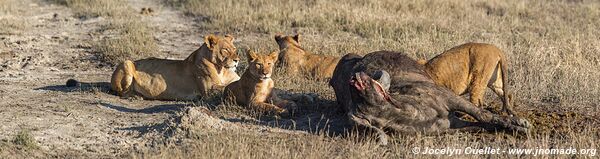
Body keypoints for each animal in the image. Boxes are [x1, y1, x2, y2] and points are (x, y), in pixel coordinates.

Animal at [109, 34, 240, 100]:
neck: (221, 69)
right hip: (127, 62)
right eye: (225, 50)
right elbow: (224, 87)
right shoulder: (209, 90)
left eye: (234, 49)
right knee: (121, 92)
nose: (237, 60)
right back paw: (136, 96)